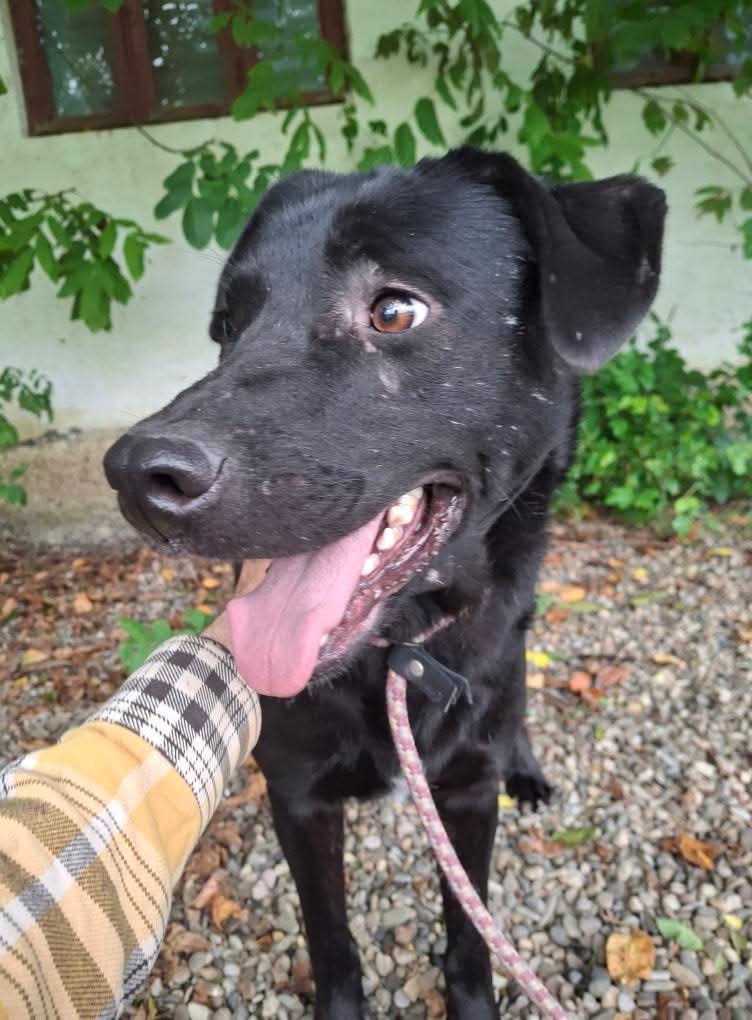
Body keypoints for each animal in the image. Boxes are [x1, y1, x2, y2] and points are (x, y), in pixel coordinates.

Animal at [104, 148, 665, 1019]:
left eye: (395, 310)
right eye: (228, 328)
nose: (137, 478)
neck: (400, 651)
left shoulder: (466, 795)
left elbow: (470, 936)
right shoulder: (299, 798)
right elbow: (331, 940)